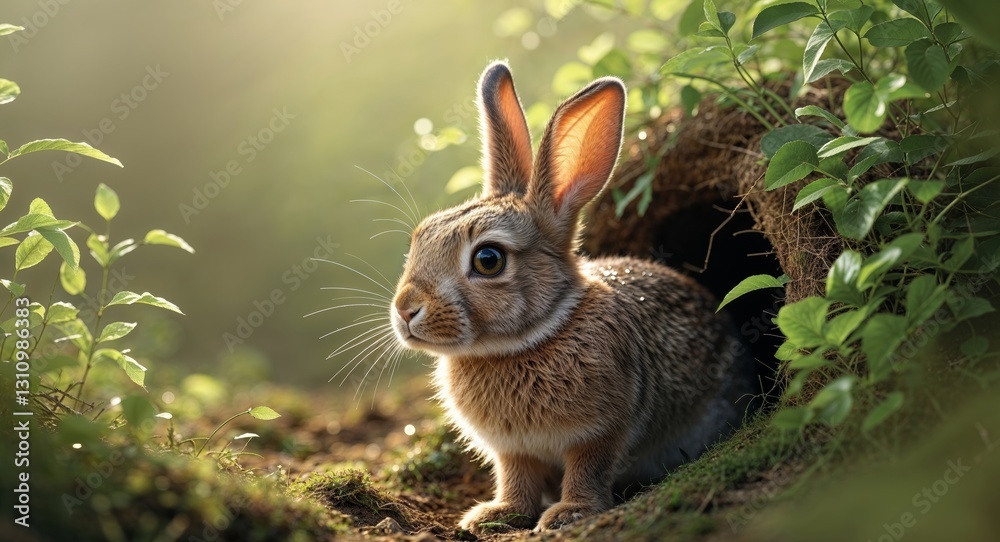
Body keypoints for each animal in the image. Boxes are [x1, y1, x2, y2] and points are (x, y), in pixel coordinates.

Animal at [390, 60, 758, 532]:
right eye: (419, 239)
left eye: (489, 259)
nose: (405, 310)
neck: (525, 342)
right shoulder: (513, 450)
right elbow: (515, 478)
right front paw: (495, 515)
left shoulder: (600, 431)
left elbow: (588, 469)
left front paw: (568, 514)